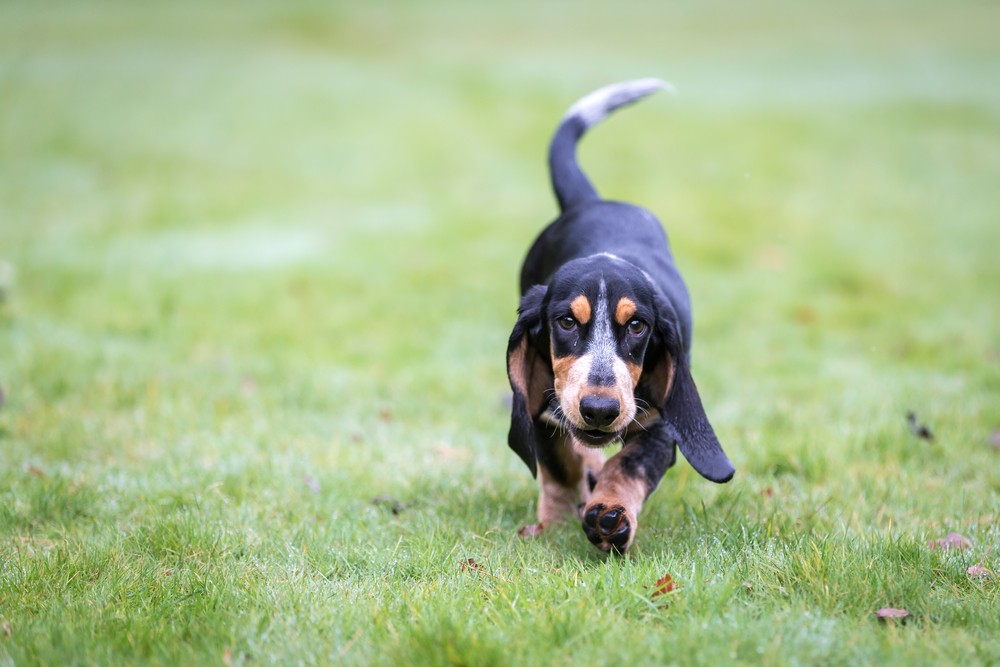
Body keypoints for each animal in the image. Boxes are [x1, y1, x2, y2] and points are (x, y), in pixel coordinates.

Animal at [508, 79, 736, 552]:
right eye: (566, 322)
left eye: (637, 326)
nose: (599, 409)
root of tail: (593, 201)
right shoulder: (540, 404)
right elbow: (559, 469)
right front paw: (556, 522)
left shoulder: (664, 426)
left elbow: (628, 466)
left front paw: (610, 512)